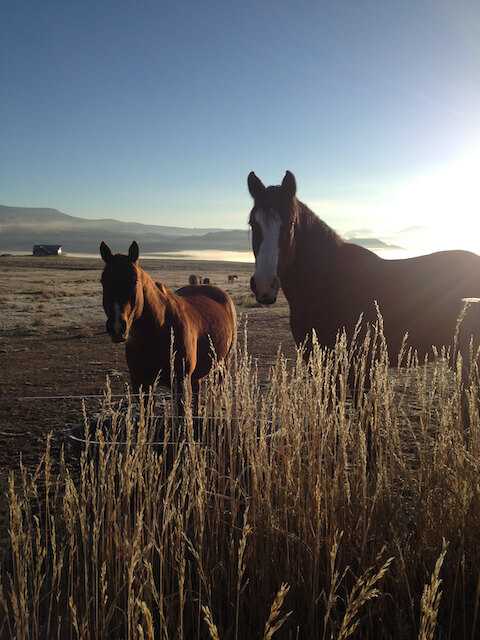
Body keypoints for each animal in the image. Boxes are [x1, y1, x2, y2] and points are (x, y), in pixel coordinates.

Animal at [100, 241, 237, 415]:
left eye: (134, 280)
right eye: (103, 281)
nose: (117, 327)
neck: (157, 331)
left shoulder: (180, 383)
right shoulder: (141, 385)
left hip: (223, 364)